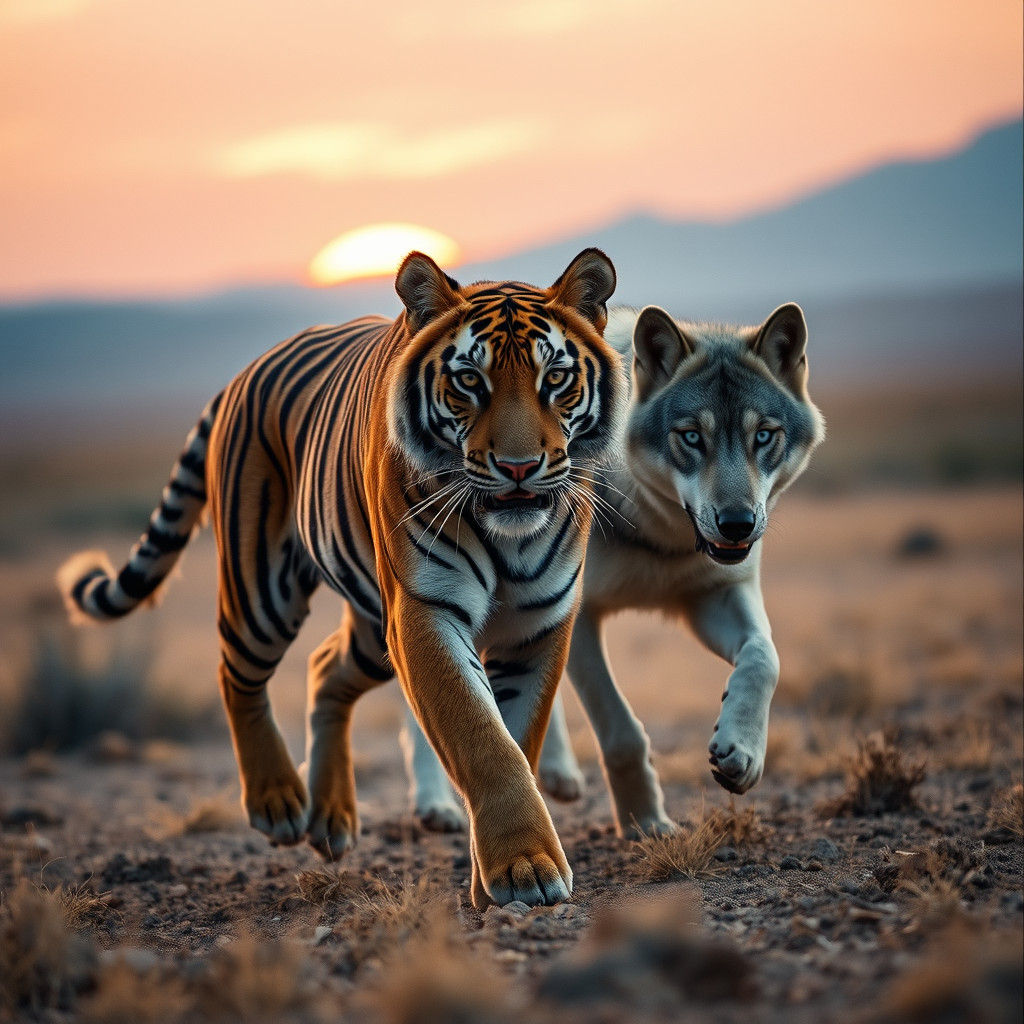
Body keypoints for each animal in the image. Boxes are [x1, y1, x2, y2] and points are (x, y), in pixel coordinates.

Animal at [58, 249, 624, 909]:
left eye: (554, 378)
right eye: (468, 381)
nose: (518, 468)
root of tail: (245, 372)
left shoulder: (536, 624)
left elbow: (518, 740)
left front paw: (496, 881)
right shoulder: (425, 612)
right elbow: (483, 740)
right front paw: (525, 870)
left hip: (374, 631)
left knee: (323, 665)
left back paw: (329, 816)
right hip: (265, 592)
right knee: (236, 674)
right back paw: (278, 800)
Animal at [402, 301, 825, 837]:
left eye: (764, 436)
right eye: (691, 437)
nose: (737, 525)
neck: (654, 534)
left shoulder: (718, 596)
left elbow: (765, 658)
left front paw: (742, 752)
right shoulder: (579, 616)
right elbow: (621, 732)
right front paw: (646, 823)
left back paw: (558, 773)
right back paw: (437, 805)